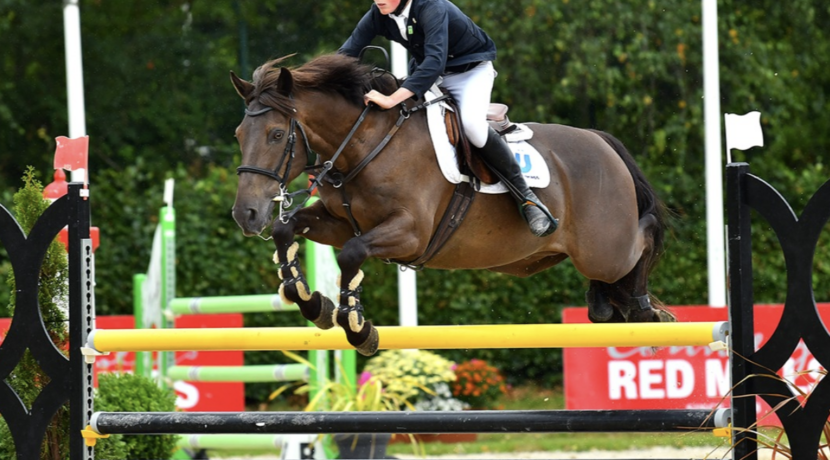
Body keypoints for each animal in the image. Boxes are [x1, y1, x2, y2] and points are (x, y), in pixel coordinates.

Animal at [230, 53, 675, 356]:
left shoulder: (411, 233)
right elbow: (287, 229)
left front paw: (357, 327)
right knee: (606, 292)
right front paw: (312, 303)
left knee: (643, 239)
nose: (245, 214)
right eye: (238, 134)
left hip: (606, 249)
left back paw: (648, 313)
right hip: (590, 256)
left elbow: (353, 255)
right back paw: (608, 305)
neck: (365, 144)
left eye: (275, 134)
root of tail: (601, 141)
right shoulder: (341, 223)